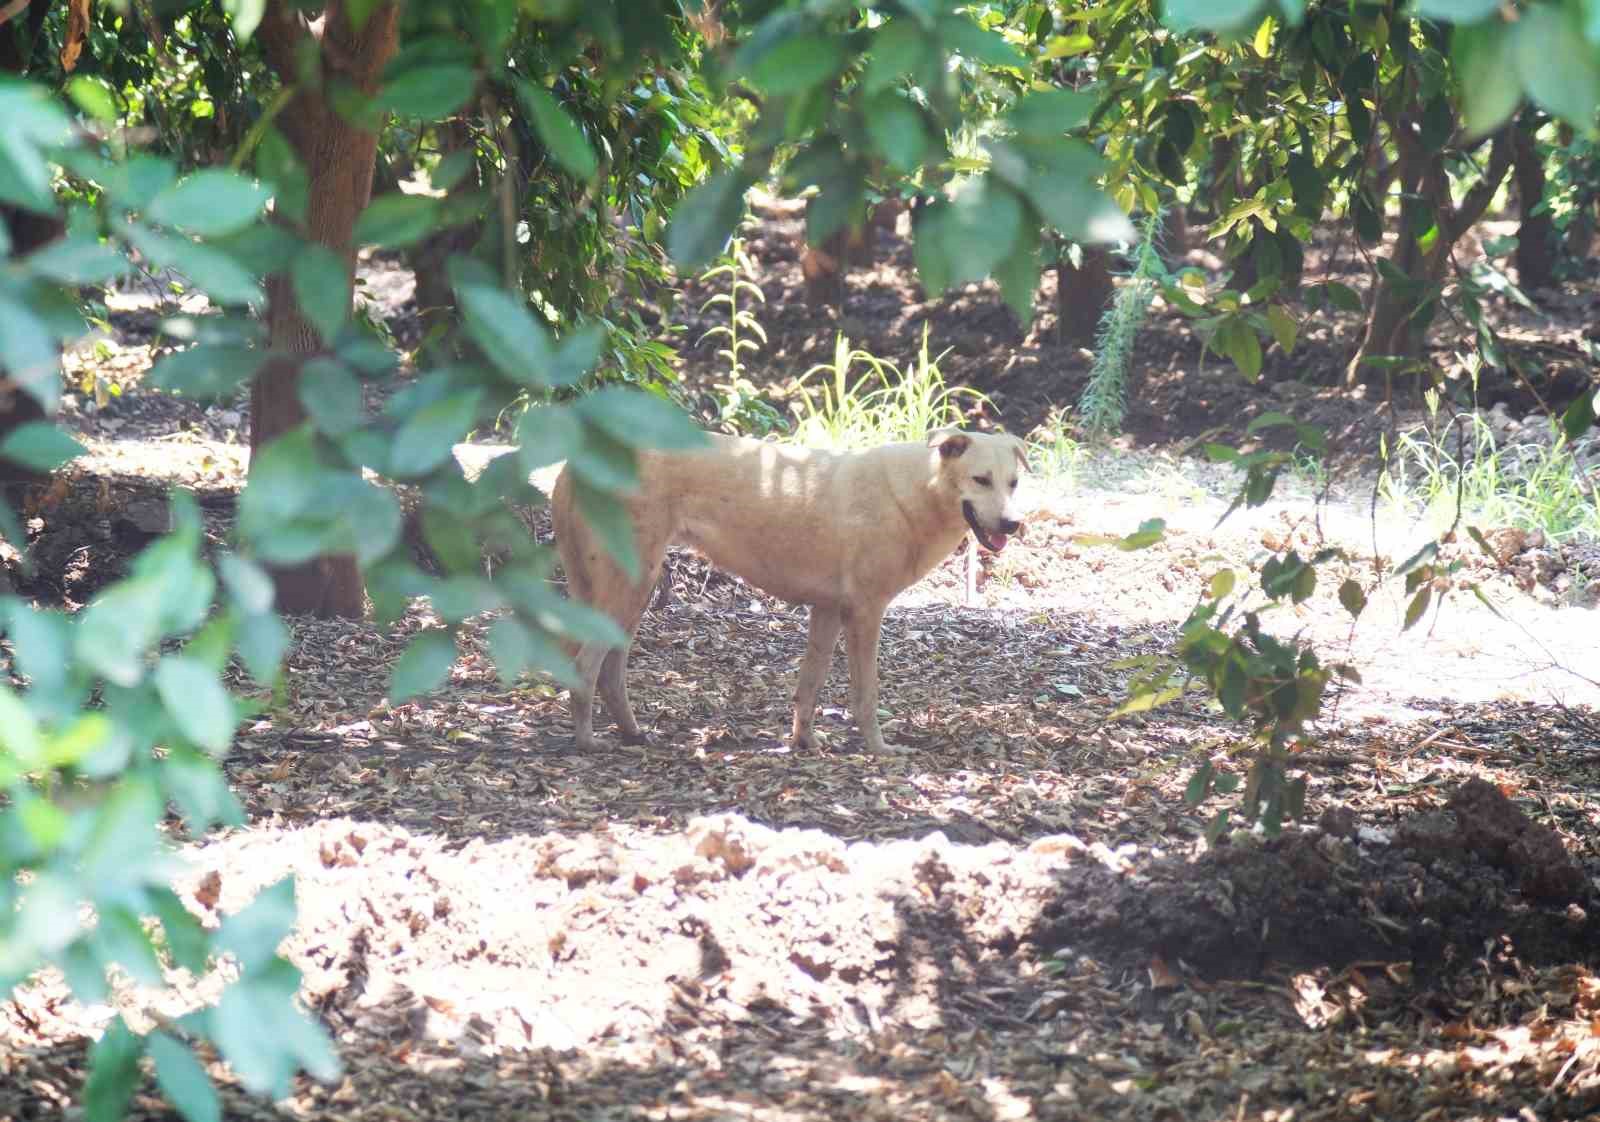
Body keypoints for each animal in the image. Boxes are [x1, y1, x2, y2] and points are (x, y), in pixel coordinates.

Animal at [550, 428, 1024, 752]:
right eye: (981, 480)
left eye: (1013, 483)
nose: (1013, 524)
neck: (915, 492)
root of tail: (577, 460)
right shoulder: (865, 613)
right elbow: (865, 695)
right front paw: (878, 750)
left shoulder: (828, 612)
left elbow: (808, 687)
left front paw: (804, 744)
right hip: (627, 592)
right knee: (585, 668)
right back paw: (588, 743)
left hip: (631, 595)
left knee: (610, 673)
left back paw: (632, 733)